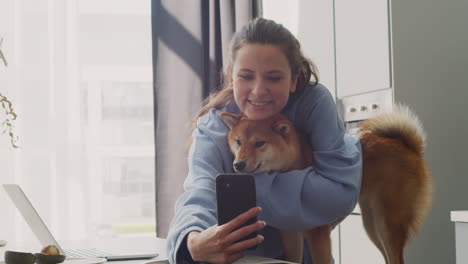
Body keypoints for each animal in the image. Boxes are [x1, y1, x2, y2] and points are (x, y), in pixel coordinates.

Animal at [221, 106, 434, 264]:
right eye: (238, 142)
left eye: (259, 143)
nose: (238, 164)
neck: (293, 163)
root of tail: (408, 147)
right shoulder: (290, 233)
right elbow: (293, 259)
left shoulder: (318, 233)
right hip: (372, 224)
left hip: (387, 224)